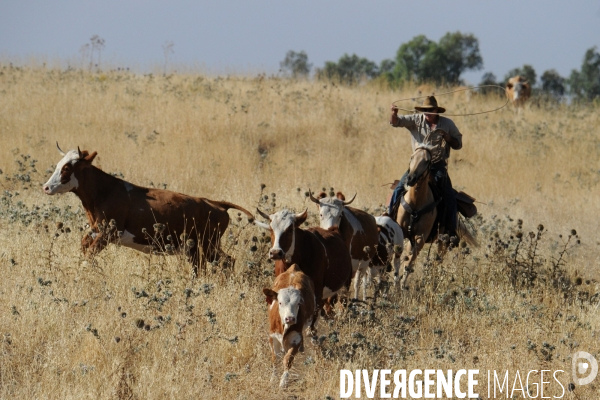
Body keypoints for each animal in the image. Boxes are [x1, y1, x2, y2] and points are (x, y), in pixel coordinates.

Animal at [41, 144, 253, 276]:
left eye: (67, 168)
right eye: (59, 165)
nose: (46, 187)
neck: (105, 191)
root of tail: (216, 203)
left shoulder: (108, 233)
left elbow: (88, 257)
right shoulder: (95, 230)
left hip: (206, 245)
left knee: (225, 262)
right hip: (198, 248)